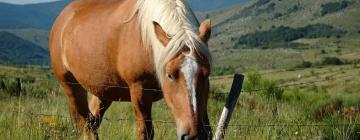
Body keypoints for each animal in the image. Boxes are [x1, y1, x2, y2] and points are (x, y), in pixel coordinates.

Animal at [49, 0, 212, 139]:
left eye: (206, 74)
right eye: (170, 75)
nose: (194, 135)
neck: (148, 43)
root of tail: (62, 19)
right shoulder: (139, 90)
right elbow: (144, 133)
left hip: (103, 90)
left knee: (92, 123)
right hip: (71, 87)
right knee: (85, 124)